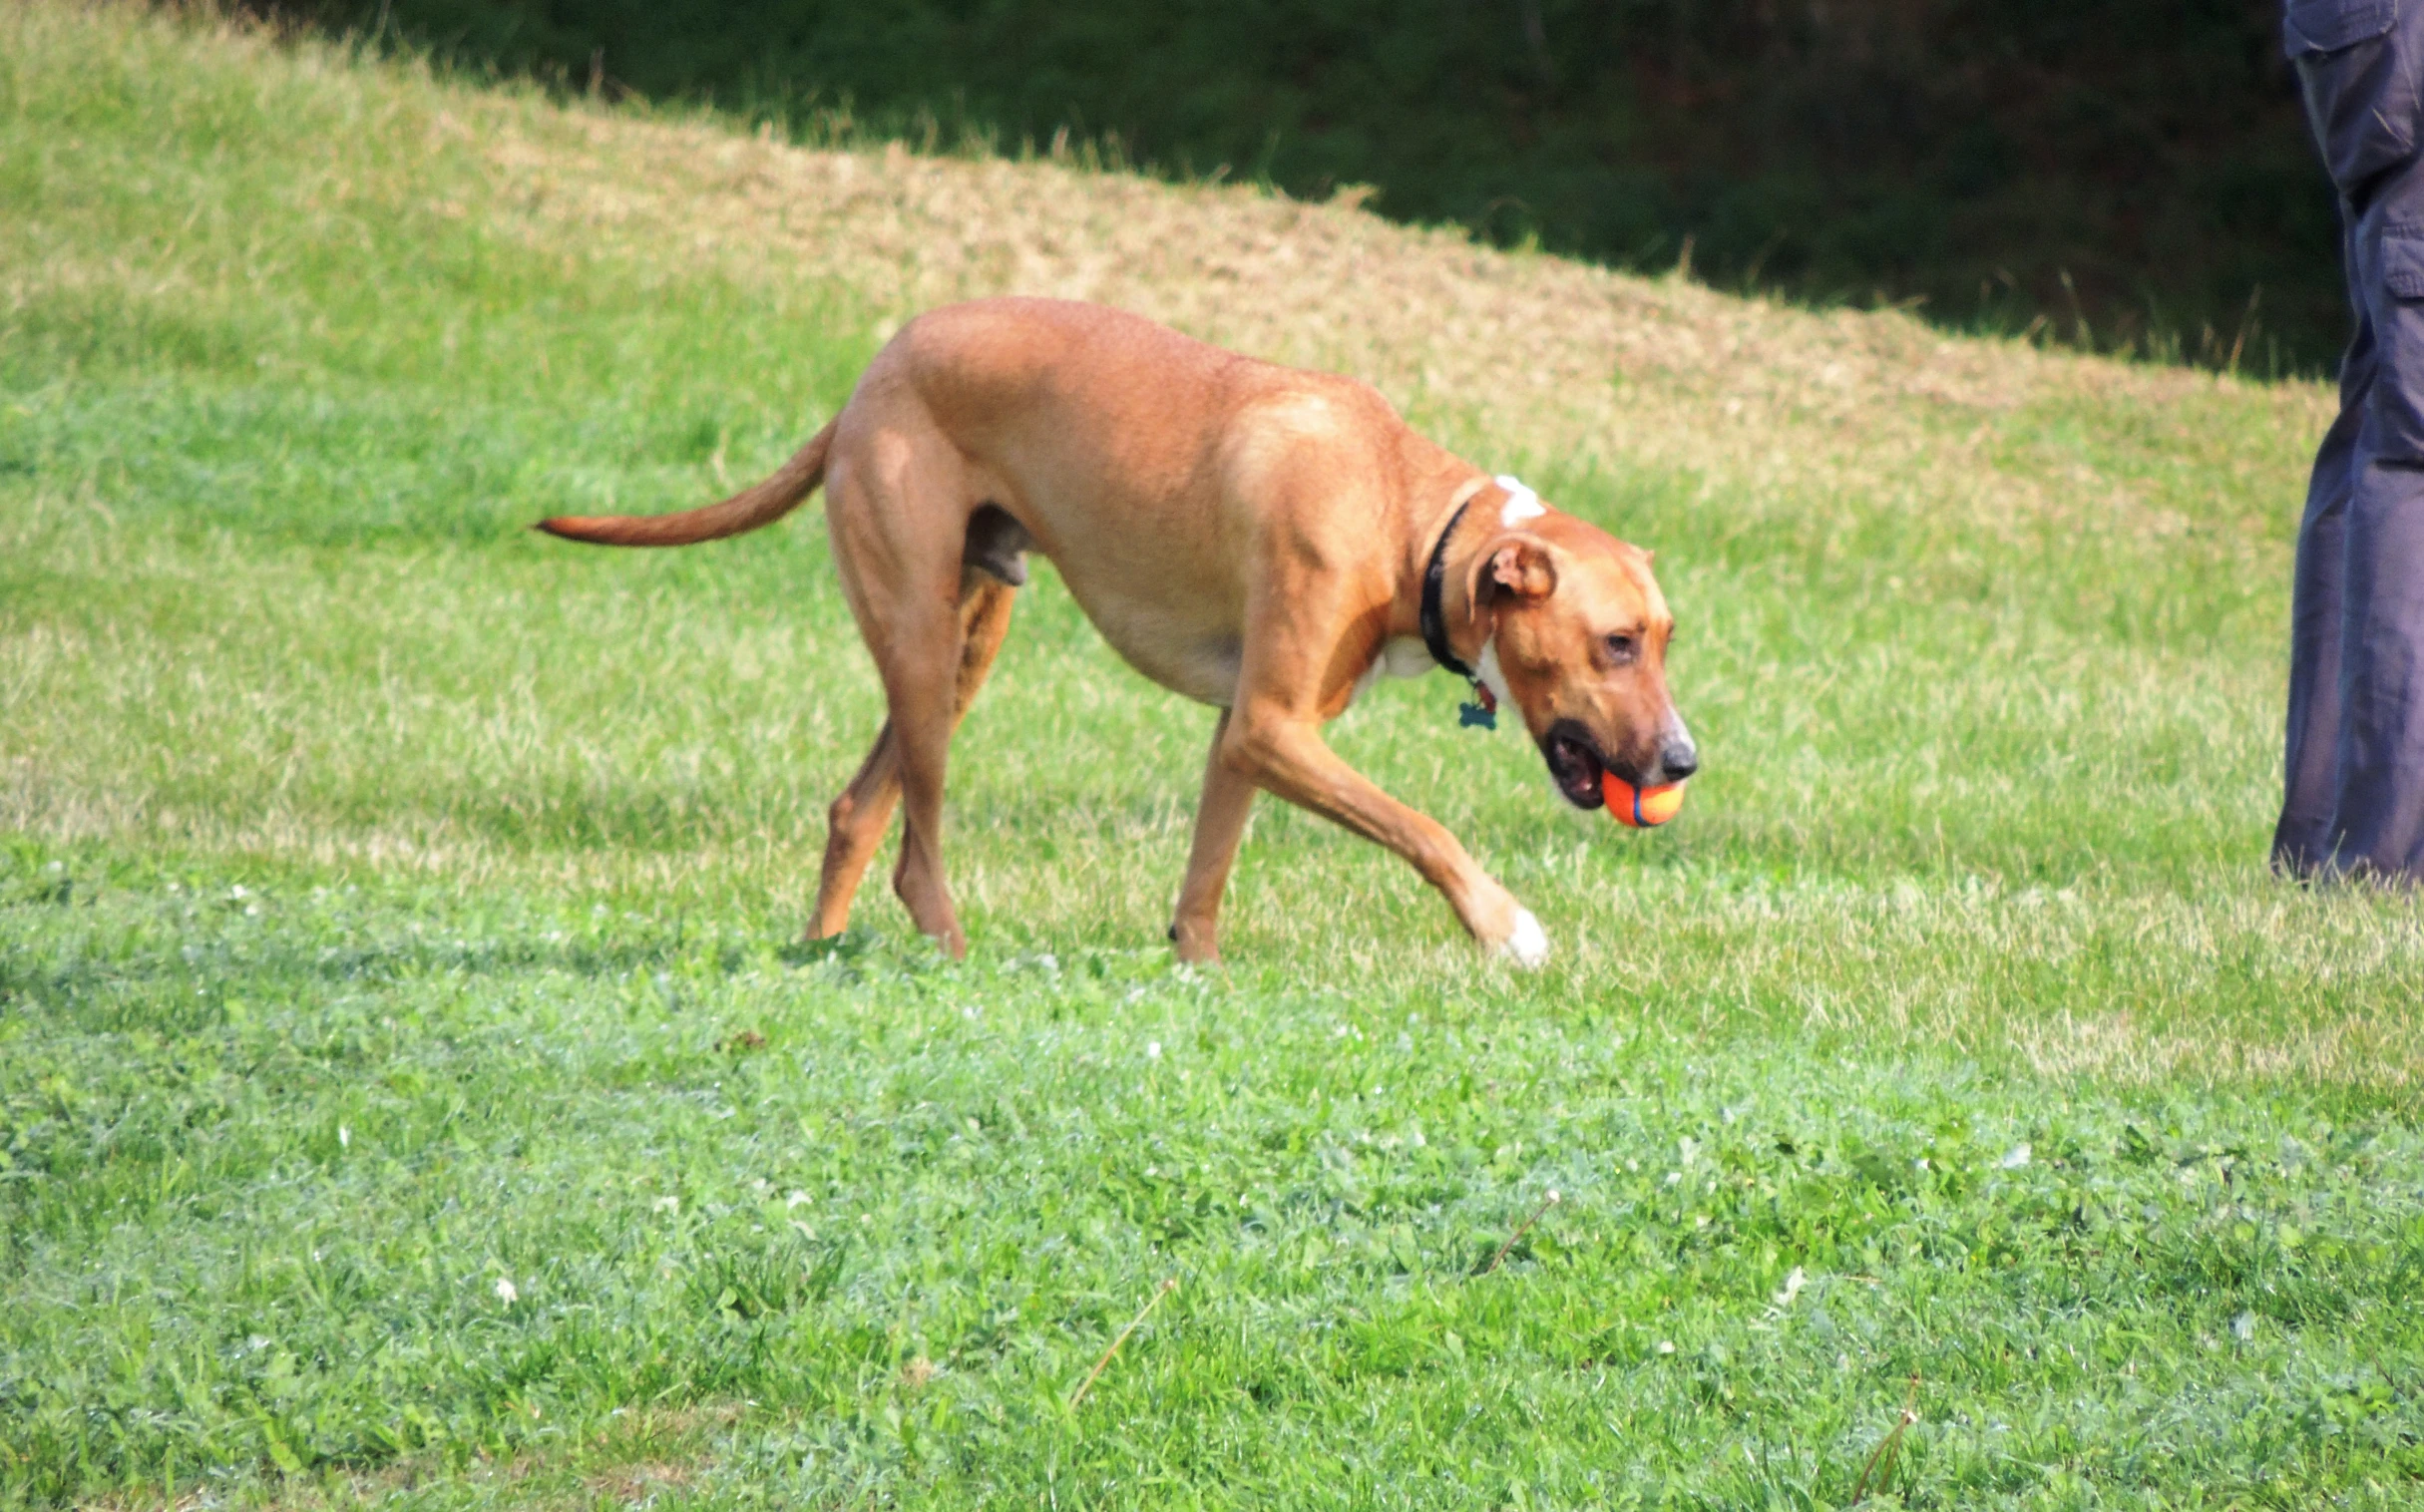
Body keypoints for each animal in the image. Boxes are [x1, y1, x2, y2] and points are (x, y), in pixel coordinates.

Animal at [540, 296, 1697, 963]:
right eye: (1616, 643)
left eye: (1665, 636)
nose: (1685, 761)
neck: (1410, 520)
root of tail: (873, 372)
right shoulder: (1275, 726)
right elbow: (1426, 827)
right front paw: (1508, 928)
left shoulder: (1245, 736)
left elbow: (1207, 875)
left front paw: (1199, 968)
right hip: (920, 640)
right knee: (916, 853)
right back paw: (953, 953)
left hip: (966, 645)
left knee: (856, 811)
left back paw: (815, 958)